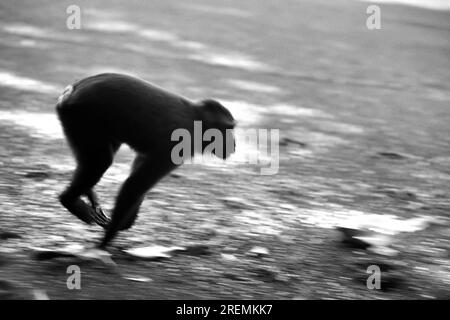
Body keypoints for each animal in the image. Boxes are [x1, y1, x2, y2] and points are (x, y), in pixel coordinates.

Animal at [56, 74, 236, 249]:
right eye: (227, 129)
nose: (233, 143)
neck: (196, 119)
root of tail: (72, 91)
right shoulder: (176, 145)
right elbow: (135, 185)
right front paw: (106, 240)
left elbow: (137, 177)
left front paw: (123, 224)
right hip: (84, 117)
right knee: (101, 161)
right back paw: (68, 199)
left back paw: (87, 195)